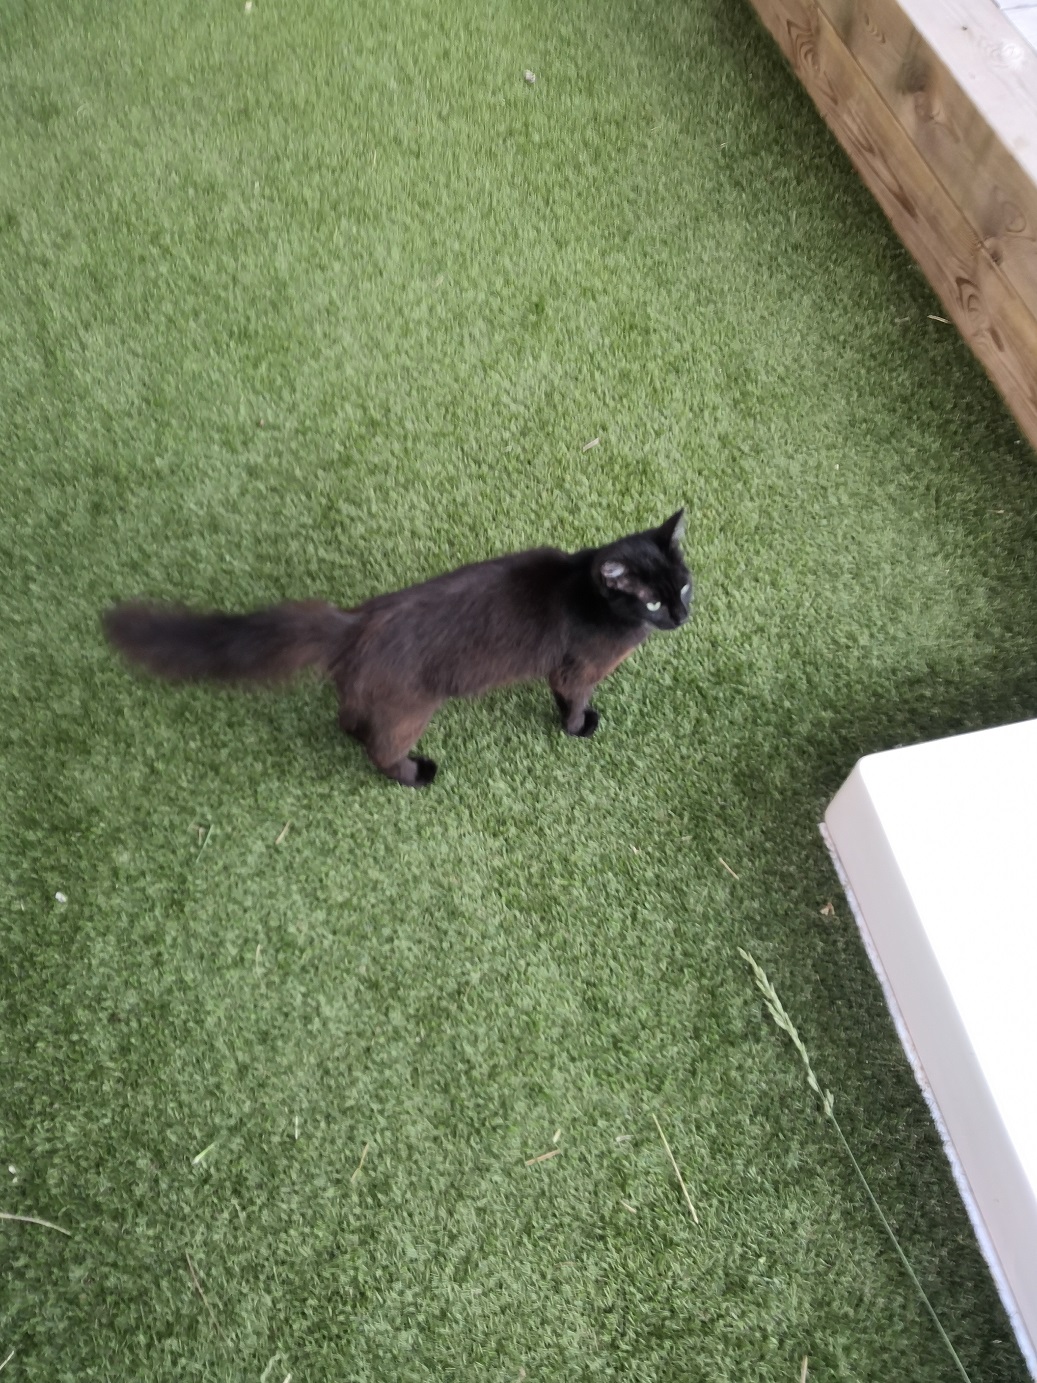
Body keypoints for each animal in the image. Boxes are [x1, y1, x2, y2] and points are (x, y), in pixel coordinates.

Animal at [104, 510, 693, 787]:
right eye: (653, 603)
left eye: (684, 587)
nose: (683, 616)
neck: (589, 595)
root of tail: (355, 621)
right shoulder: (576, 669)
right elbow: (572, 700)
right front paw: (579, 727)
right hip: (411, 711)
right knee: (381, 750)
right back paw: (416, 775)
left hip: (369, 693)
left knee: (351, 717)